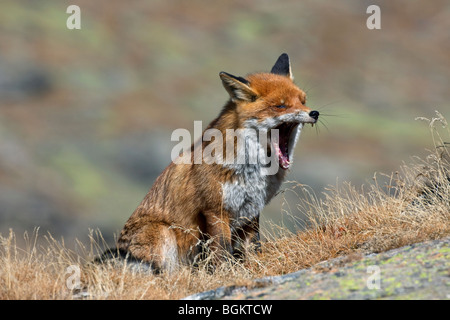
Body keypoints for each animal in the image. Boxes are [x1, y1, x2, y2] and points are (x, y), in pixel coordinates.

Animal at [114, 53, 318, 272]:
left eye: (303, 101)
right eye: (280, 105)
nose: (314, 113)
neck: (252, 171)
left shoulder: (252, 210)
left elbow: (253, 247)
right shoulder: (215, 211)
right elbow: (222, 250)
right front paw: (226, 272)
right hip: (162, 233)